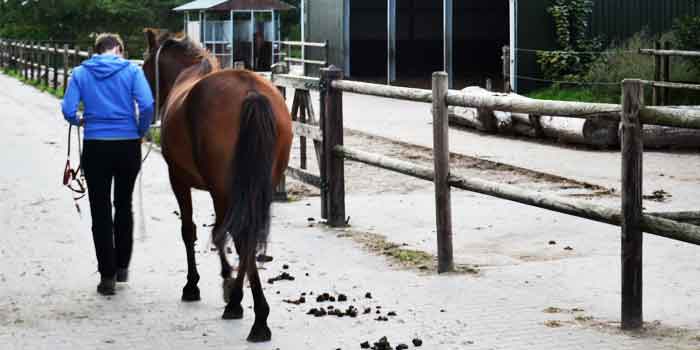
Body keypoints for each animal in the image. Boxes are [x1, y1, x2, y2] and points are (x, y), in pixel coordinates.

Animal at [141, 30, 294, 342]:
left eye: (146, 67)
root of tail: (251, 91)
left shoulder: (180, 179)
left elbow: (194, 231)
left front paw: (195, 285)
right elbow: (218, 232)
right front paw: (228, 284)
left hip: (223, 188)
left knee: (239, 234)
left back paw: (251, 313)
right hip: (257, 186)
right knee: (247, 236)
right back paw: (246, 307)